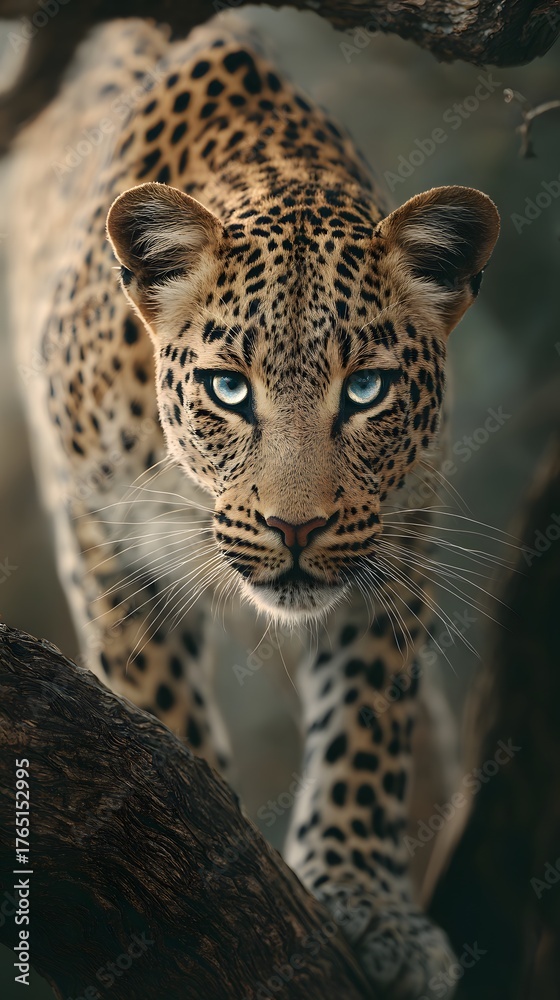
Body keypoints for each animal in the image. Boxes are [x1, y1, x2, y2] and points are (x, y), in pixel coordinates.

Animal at [8, 13, 500, 998]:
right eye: (229, 389)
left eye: (367, 390)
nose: (295, 528)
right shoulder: (103, 535)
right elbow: (155, 696)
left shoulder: (397, 540)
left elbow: (368, 720)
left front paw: (367, 899)